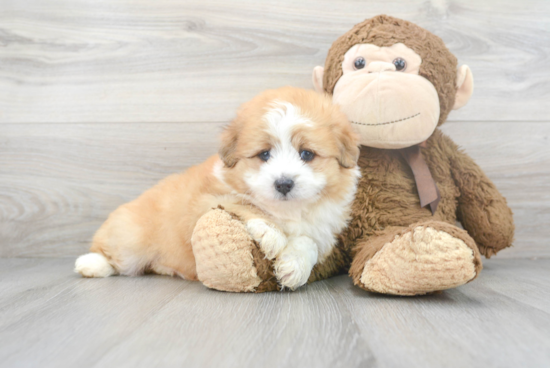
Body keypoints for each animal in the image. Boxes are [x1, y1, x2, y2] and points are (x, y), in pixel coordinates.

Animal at [76, 87, 362, 290]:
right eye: (264, 154)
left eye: (306, 154)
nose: (283, 183)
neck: (288, 211)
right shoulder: (200, 203)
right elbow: (240, 203)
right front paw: (271, 233)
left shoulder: (323, 230)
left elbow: (308, 242)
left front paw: (294, 266)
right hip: (129, 240)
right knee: (111, 254)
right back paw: (90, 264)